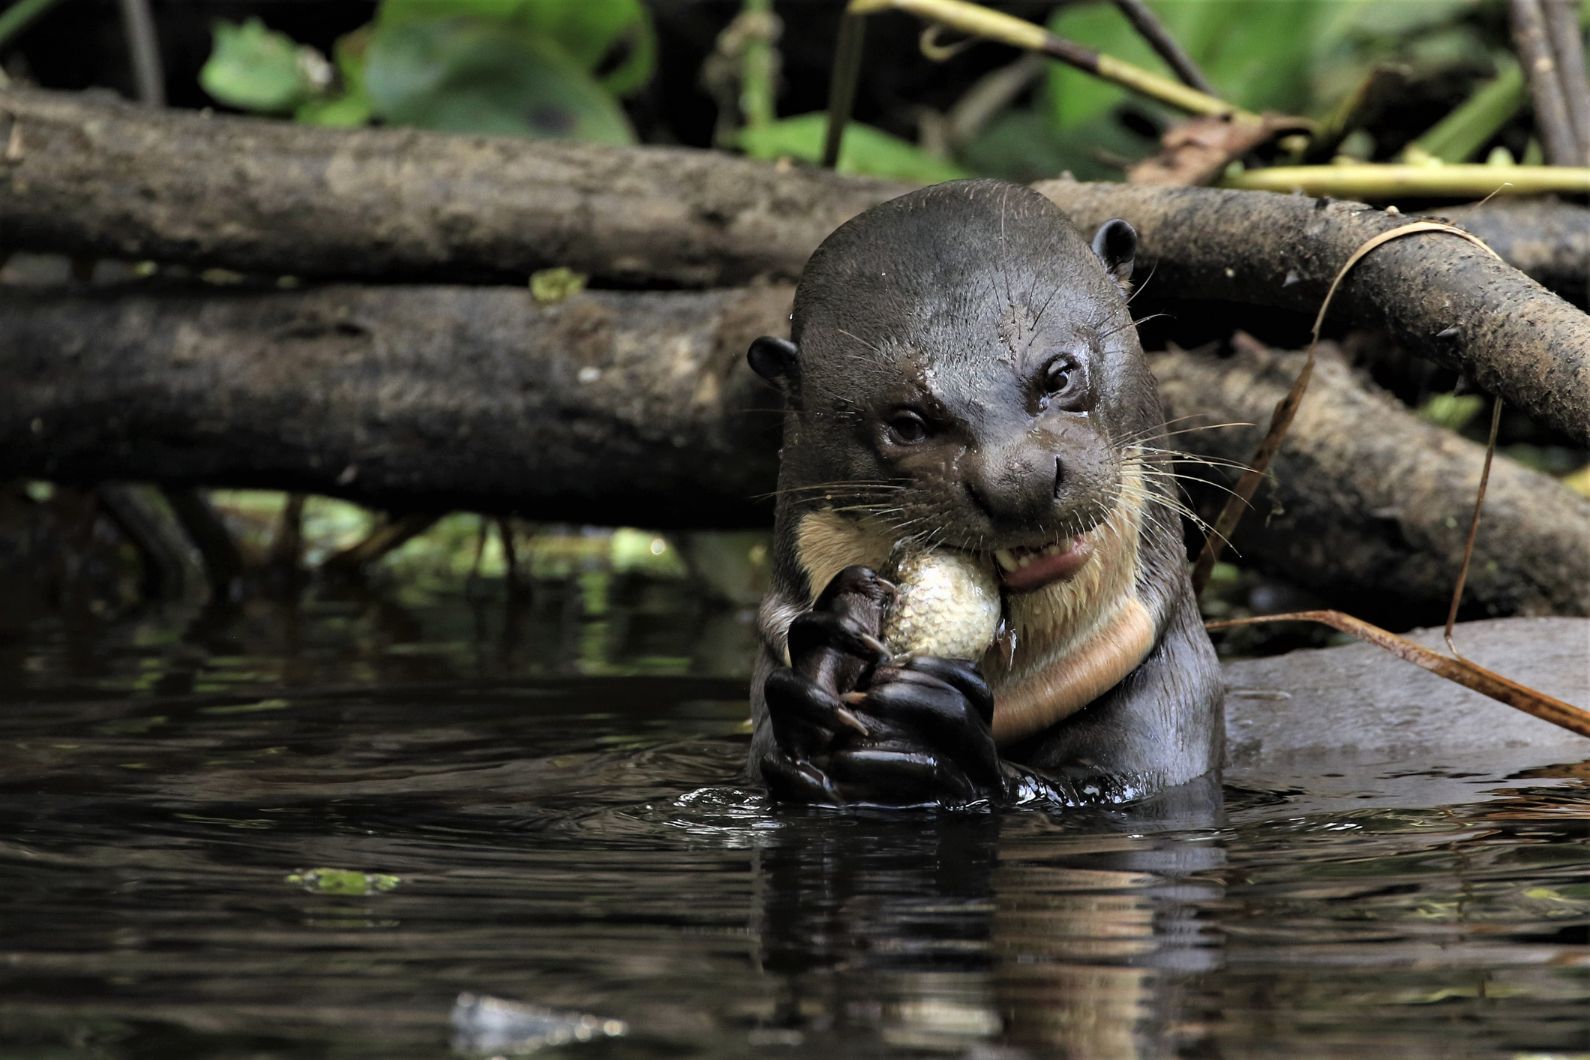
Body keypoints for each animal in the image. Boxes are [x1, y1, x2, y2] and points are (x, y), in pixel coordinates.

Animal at [750, 177, 1221, 807]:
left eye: (1060, 374)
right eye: (907, 423)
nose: (1018, 482)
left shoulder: (1169, 727)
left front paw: (939, 727)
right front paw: (826, 650)